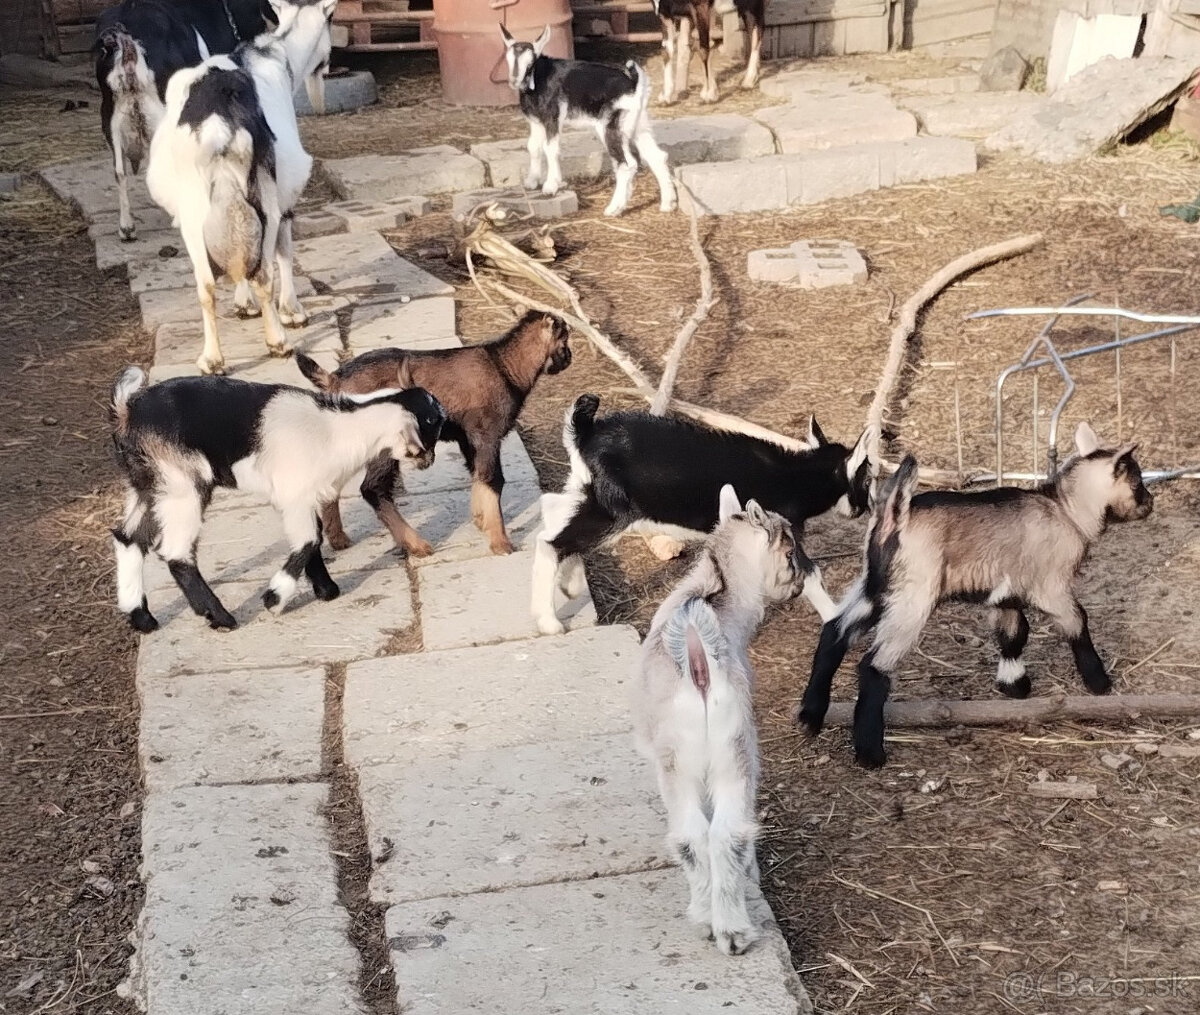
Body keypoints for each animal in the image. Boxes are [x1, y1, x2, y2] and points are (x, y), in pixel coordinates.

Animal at [106, 364, 446, 633]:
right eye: (433, 424)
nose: (429, 461)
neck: (338, 428)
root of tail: (128, 411)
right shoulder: (294, 494)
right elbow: (307, 541)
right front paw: (274, 599)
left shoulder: (305, 496)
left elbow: (313, 540)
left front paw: (326, 590)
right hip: (182, 485)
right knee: (176, 552)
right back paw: (220, 617)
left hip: (149, 485)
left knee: (128, 538)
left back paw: (142, 618)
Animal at [150, 0, 340, 376]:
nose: (328, 65)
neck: (277, 53)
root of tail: (219, 128)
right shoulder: (284, 198)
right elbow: (285, 251)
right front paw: (292, 311)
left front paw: (243, 304)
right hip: (264, 199)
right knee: (264, 272)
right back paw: (278, 342)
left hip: (194, 212)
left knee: (206, 284)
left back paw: (211, 359)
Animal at [501, 24, 681, 218]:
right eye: (508, 58)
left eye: (530, 63)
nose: (514, 81)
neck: (540, 77)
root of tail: (634, 85)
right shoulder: (536, 121)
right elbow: (533, 147)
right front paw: (531, 181)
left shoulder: (553, 117)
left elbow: (550, 148)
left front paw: (551, 186)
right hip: (637, 124)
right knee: (656, 156)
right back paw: (667, 204)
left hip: (609, 126)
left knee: (626, 164)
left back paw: (613, 209)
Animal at [796, 422, 1152, 772]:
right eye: (1137, 482)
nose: (1150, 503)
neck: (1066, 509)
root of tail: (893, 514)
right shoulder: (1051, 587)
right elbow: (1077, 621)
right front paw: (1099, 682)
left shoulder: (1005, 593)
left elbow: (1014, 633)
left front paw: (1014, 684)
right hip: (913, 597)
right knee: (872, 665)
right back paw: (870, 753)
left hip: (875, 588)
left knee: (834, 631)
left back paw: (810, 716)